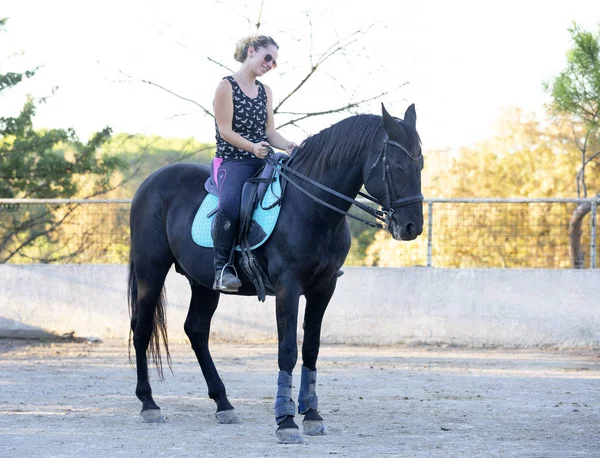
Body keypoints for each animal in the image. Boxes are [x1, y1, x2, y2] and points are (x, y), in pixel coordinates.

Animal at [128, 104, 424, 444]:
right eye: (399, 166)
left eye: (421, 164)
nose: (412, 227)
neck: (311, 206)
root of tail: (150, 183)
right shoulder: (288, 287)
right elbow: (288, 351)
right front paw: (286, 421)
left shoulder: (323, 289)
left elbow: (311, 349)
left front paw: (312, 415)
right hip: (151, 271)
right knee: (142, 328)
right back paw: (149, 403)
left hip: (205, 283)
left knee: (196, 330)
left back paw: (224, 404)